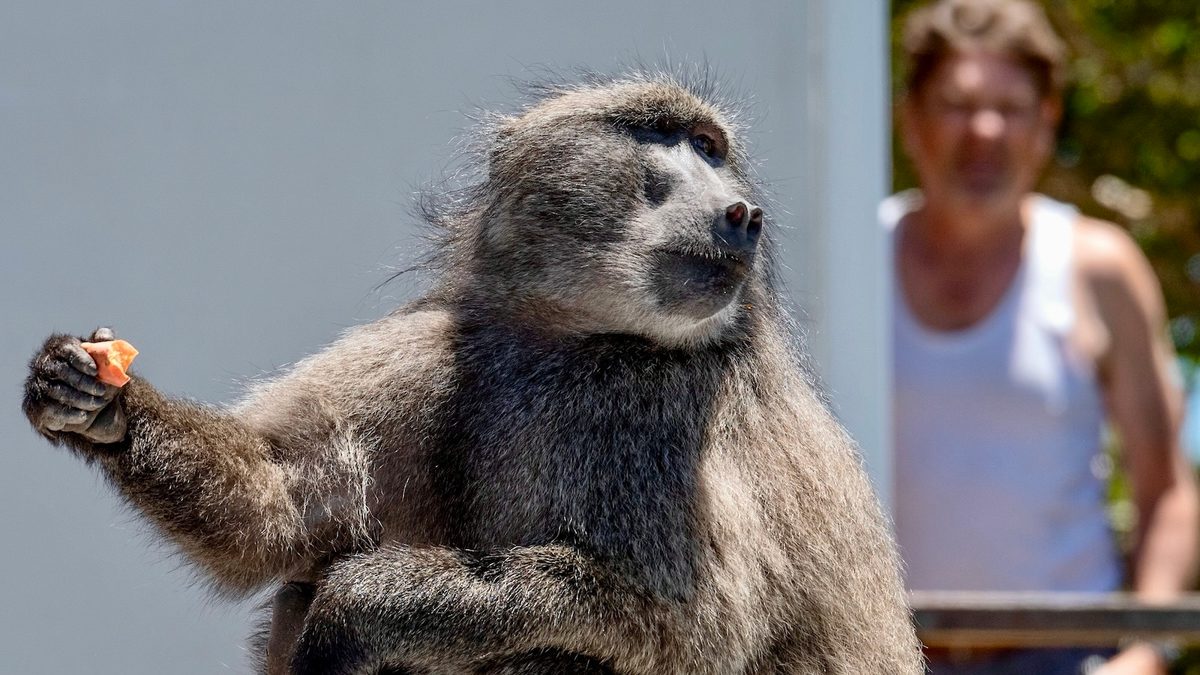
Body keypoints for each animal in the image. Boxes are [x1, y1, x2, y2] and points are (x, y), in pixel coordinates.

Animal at [23, 72, 922, 674]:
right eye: (669, 138)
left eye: (711, 150)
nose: (741, 213)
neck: (580, 338)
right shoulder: (448, 343)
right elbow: (275, 508)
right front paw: (101, 401)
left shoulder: (667, 412)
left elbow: (692, 625)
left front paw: (361, 603)